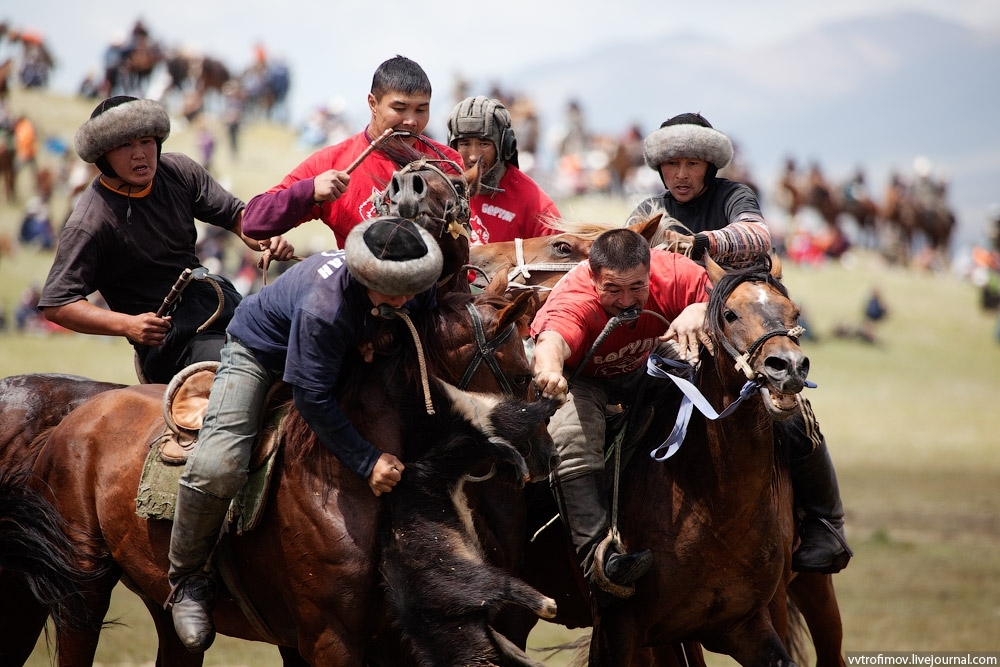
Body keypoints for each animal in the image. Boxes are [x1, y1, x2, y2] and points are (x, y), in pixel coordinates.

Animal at [7, 284, 552, 664]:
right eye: (520, 374)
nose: (545, 456)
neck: (336, 478)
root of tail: (70, 421)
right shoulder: (330, 641)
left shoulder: (398, 635)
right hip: (80, 596)